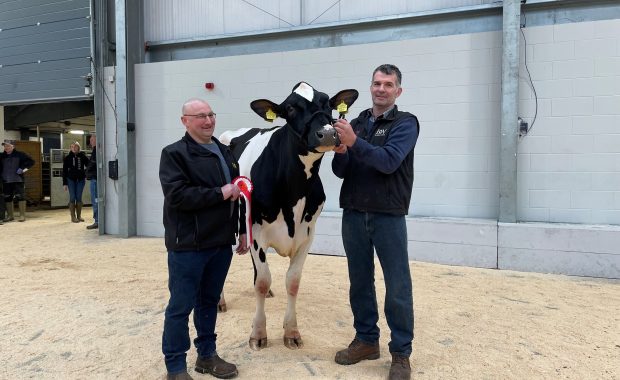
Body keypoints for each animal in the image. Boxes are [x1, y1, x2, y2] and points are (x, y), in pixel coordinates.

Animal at [220, 82, 358, 350]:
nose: (327, 133)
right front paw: (258, 333)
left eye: (327, 103)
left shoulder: (307, 235)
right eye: (291, 108)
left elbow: (292, 282)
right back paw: (219, 302)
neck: (295, 187)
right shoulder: (258, 234)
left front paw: (292, 332)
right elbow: (262, 281)